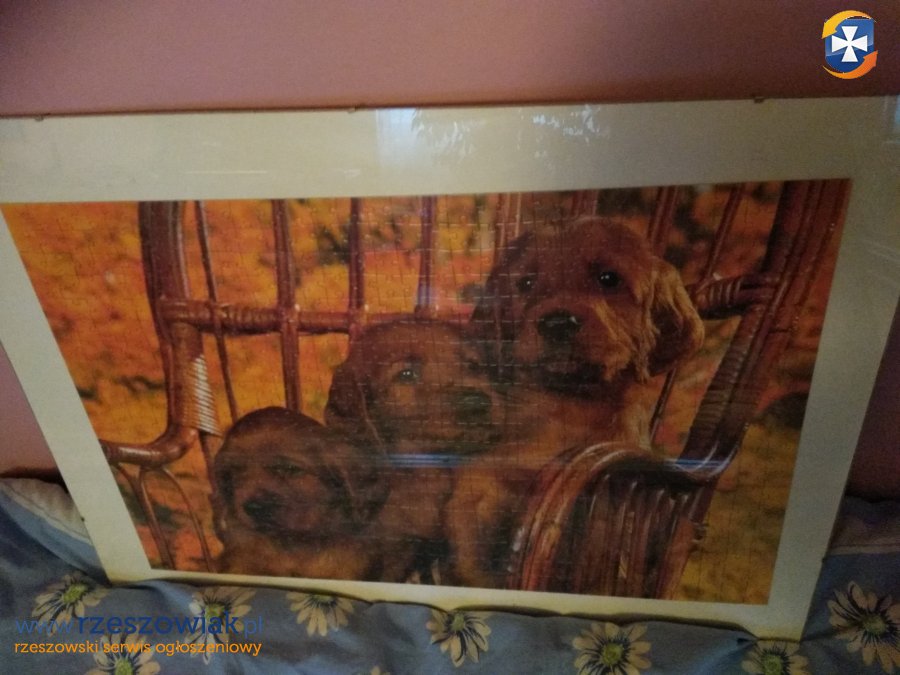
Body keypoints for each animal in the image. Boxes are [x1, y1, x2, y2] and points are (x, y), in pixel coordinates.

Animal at [443, 216, 706, 588]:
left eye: (608, 279)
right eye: (526, 282)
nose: (557, 324)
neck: (566, 405)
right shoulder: (477, 492)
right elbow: (471, 559)